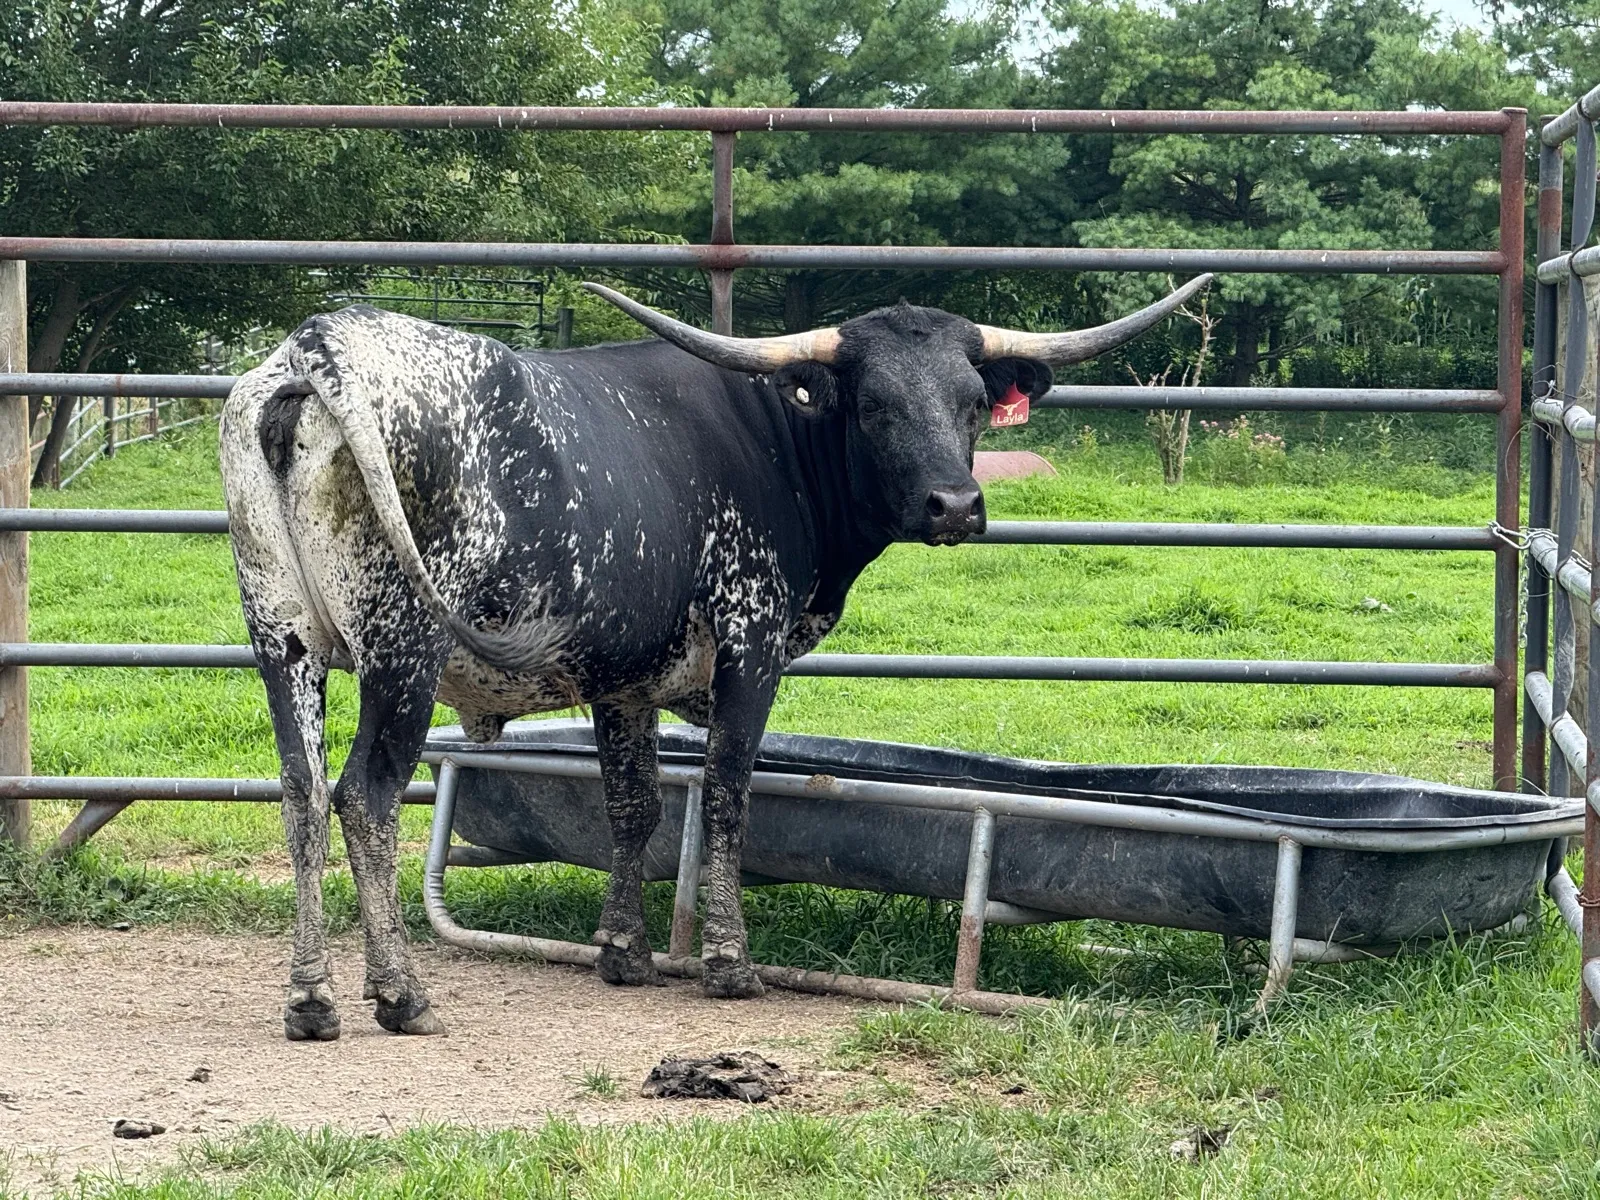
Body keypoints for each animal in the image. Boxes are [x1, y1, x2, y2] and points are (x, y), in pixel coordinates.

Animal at [220, 274, 1210, 1040]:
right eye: (874, 405)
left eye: (971, 402)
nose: (956, 505)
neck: (777, 441)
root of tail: (320, 347)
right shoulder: (750, 644)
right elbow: (729, 792)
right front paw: (729, 962)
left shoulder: (621, 681)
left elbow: (634, 806)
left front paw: (623, 951)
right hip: (404, 651)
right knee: (365, 796)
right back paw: (400, 994)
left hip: (282, 641)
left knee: (302, 795)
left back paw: (311, 1000)